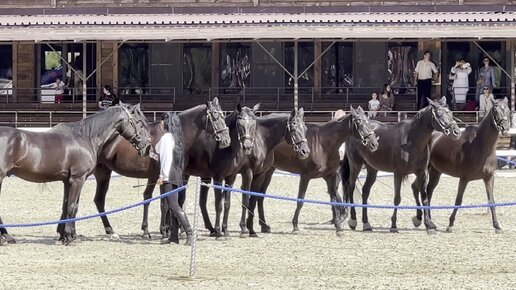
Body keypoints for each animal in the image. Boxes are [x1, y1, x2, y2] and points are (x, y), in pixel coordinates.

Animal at [0, 104, 151, 245]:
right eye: (140, 123)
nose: (147, 145)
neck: (85, 138)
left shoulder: (68, 181)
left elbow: (67, 206)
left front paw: (65, 235)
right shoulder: (78, 179)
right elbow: (72, 207)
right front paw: (68, 237)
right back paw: (7, 237)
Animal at [92, 98, 230, 239]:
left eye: (223, 116)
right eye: (215, 116)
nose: (226, 140)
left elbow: (166, 201)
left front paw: (164, 229)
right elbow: (162, 203)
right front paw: (160, 231)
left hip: (104, 174)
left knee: (99, 200)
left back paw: (110, 230)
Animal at [246, 105, 378, 234]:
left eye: (368, 121)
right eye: (359, 121)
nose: (374, 143)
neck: (323, 143)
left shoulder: (330, 176)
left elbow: (334, 199)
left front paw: (338, 226)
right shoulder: (305, 176)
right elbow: (300, 200)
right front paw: (295, 226)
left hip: (269, 171)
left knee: (260, 196)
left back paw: (264, 226)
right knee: (259, 196)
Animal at [342, 97, 460, 233]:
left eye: (450, 113)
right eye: (439, 114)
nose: (456, 132)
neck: (411, 141)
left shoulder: (422, 173)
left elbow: (424, 197)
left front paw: (429, 224)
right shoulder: (398, 173)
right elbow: (397, 199)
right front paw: (393, 225)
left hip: (372, 169)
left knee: (365, 191)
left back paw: (366, 224)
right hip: (355, 165)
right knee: (351, 187)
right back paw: (353, 220)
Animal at [410, 97, 510, 233]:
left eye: (508, 110)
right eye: (495, 110)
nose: (505, 128)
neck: (480, 145)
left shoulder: (489, 178)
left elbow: (491, 201)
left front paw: (497, 226)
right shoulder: (464, 178)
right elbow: (458, 200)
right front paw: (450, 224)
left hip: (436, 172)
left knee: (428, 192)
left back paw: (430, 222)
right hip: (425, 170)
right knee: (418, 188)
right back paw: (419, 219)